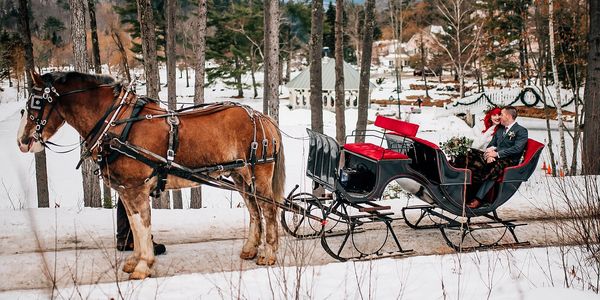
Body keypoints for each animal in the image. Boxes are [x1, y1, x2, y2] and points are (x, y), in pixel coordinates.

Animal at [16, 71, 284, 280]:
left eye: (36, 102)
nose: (22, 141)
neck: (117, 124)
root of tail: (262, 117)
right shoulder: (125, 190)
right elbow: (134, 225)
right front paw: (135, 260)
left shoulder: (135, 189)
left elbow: (142, 225)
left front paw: (144, 265)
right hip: (241, 177)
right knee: (254, 210)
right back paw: (250, 248)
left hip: (259, 174)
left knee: (269, 210)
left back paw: (269, 254)